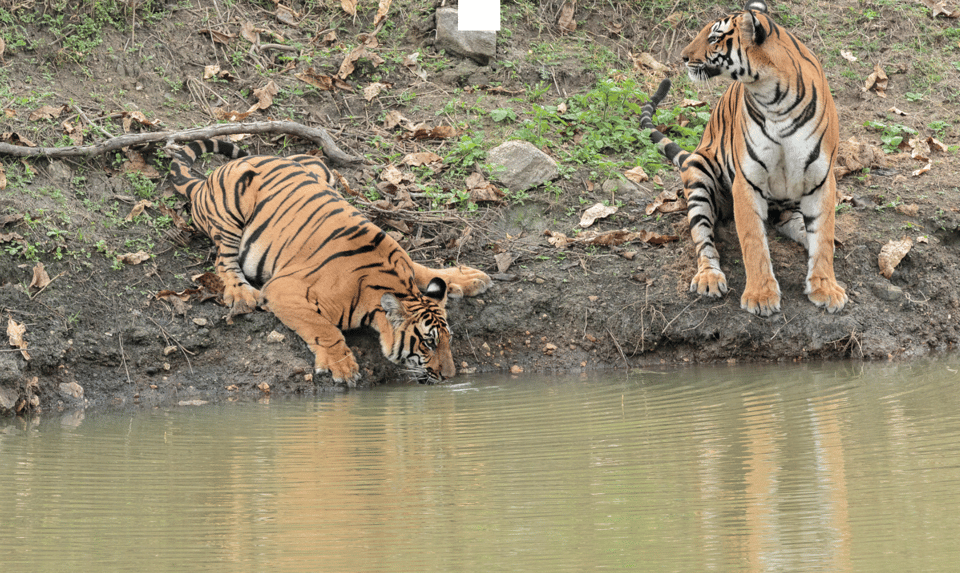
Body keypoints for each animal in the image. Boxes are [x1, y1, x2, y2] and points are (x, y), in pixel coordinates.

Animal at [167, 139, 496, 384]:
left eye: (448, 340)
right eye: (428, 343)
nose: (450, 376)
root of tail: (206, 180)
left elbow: (423, 269)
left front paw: (468, 279)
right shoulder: (282, 289)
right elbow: (323, 328)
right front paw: (342, 367)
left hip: (319, 167)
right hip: (233, 209)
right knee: (223, 262)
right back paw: (241, 294)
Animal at [644, 0, 848, 316]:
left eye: (714, 37)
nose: (683, 57)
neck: (774, 97)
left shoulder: (820, 179)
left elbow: (822, 238)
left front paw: (825, 288)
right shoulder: (748, 180)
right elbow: (753, 241)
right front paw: (761, 296)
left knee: (796, 226)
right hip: (699, 173)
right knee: (703, 239)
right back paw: (709, 278)